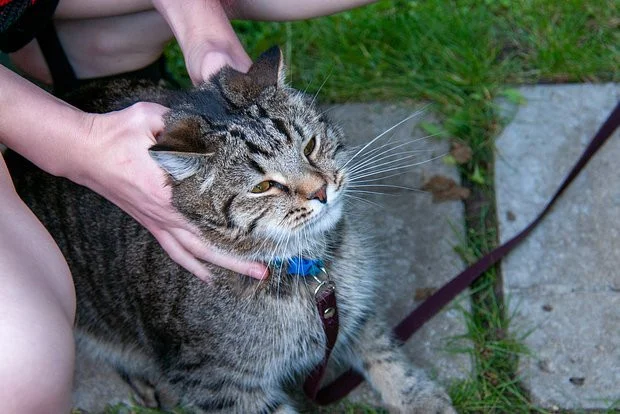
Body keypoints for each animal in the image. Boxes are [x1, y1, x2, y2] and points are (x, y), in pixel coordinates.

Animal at [6, 47, 456, 412]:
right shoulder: (218, 384)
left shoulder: (353, 314)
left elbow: (384, 352)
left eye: (310, 146)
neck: (308, 268)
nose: (321, 192)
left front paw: (421, 400)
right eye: (262, 186)